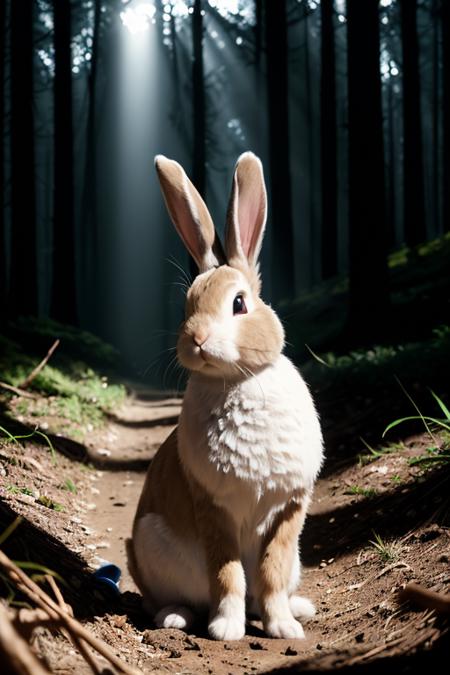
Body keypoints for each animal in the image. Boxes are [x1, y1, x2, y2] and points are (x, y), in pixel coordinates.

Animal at [126, 151, 324, 640]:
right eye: (187, 306)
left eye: (239, 303)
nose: (195, 339)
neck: (236, 378)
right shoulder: (213, 508)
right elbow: (227, 572)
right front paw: (227, 629)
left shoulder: (289, 507)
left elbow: (271, 570)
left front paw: (282, 627)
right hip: (150, 549)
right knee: (164, 599)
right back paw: (177, 617)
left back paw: (300, 608)